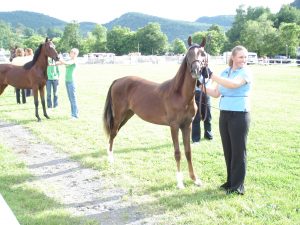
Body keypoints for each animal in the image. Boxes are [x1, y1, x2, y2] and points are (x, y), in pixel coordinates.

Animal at [103, 36, 209, 188]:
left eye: (203, 54)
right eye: (188, 54)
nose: (195, 70)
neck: (180, 95)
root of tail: (118, 80)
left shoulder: (187, 125)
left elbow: (188, 152)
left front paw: (195, 179)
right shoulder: (174, 126)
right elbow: (177, 153)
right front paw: (180, 182)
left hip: (127, 115)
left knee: (115, 132)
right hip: (118, 115)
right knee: (112, 133)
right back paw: (110, 159)